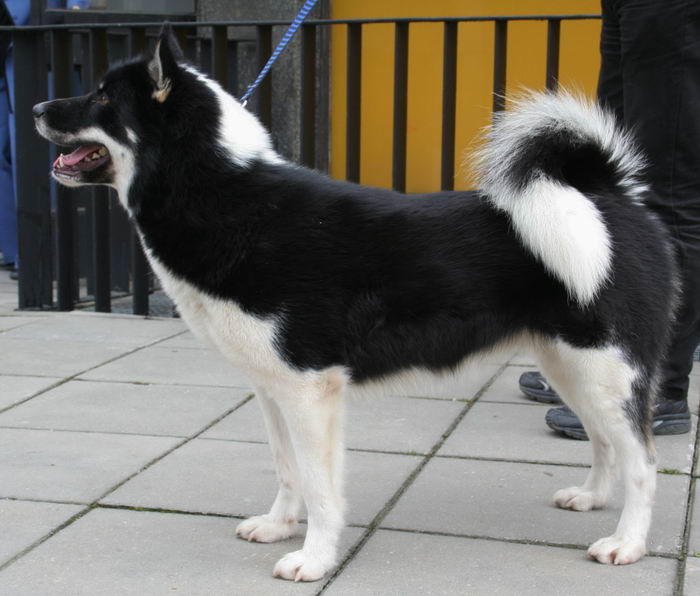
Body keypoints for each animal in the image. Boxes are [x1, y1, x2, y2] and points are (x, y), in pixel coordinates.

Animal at [32, 28, 680, 584]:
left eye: (101, 96)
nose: (37, 109)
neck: (228, 198)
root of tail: (604, 192)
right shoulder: (272, 389)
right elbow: (287, 470)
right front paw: (279, 526)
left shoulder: (309, 389)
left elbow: (321, 489)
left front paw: (314, 559)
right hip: (569, 366)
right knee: (602, 439)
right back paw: (592, 497)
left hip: (606, 369)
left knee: (643, 462)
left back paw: (627, 543)